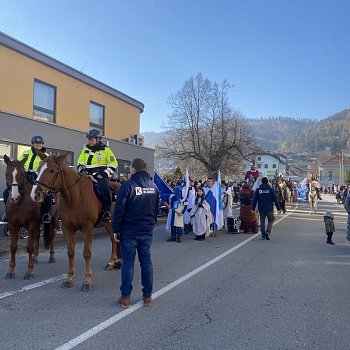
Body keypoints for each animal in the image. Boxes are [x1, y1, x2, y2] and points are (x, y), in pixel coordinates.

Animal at [31, 154, 121, 292]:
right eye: (38, 169)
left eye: (51, 170)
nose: (36, 194)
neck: (75, 197)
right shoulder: (67, 228)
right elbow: (71, 253)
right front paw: (69, 279)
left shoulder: (88, 228)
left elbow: (87, 253)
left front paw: (88, 281)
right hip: (109, 225)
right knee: (113, 240)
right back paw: (111, 263)